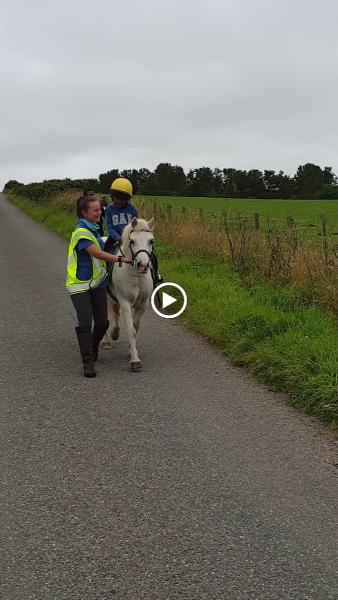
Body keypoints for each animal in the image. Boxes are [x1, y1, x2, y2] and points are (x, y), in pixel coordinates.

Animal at [99, 216, 154, 370]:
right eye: (132, 241)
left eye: (151, 241)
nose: (143, 265)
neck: (136, 275)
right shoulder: (125, 302)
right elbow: (130, 329)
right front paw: (135, 359)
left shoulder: (142, 305)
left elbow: (135, 327)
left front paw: (130, 352)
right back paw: (105, 340)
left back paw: (115, 333)